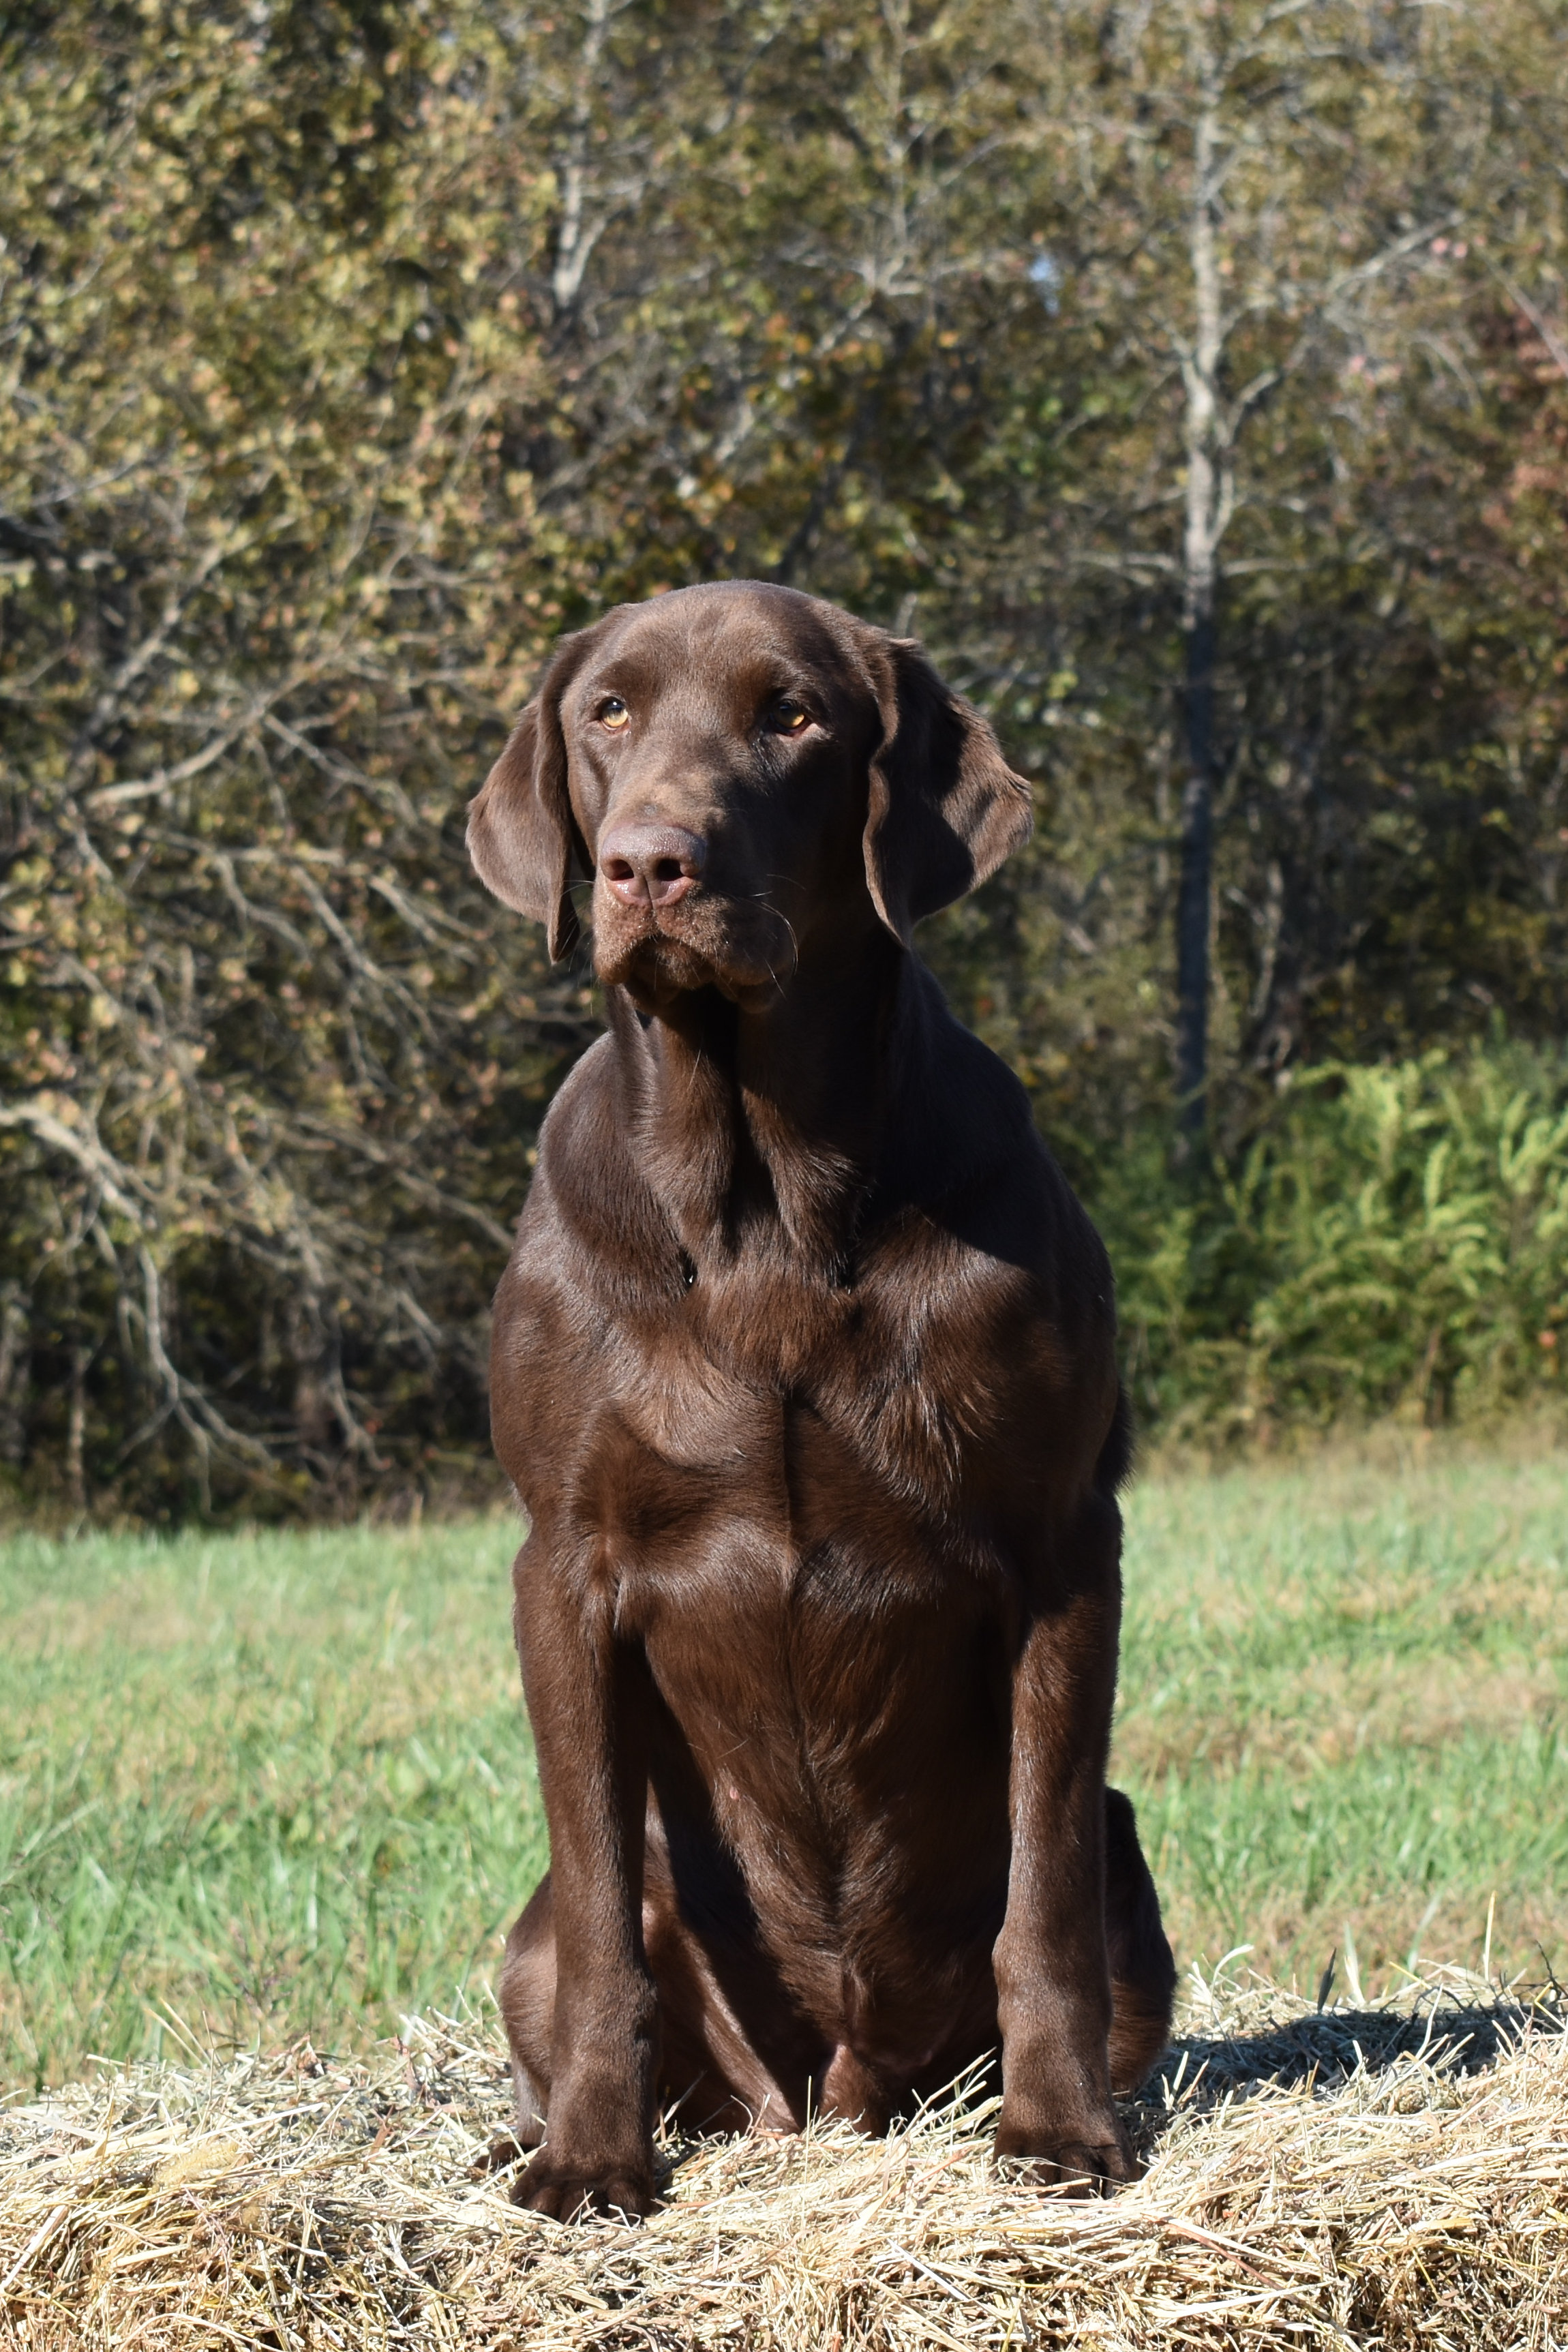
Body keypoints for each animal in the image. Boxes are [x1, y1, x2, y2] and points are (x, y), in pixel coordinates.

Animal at [465, 578, 1175, 2211]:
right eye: (606, 713)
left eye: (791, 715)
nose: (645, 863)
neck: (761, 1202)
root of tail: (836, 2094)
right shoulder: (564, 1562)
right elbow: (602, 1904)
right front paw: (590, 2158)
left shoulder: (1063, 1546)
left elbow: (1040, 1893)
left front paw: (1056, 2132)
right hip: (540, 1944)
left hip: (1133, 1873)